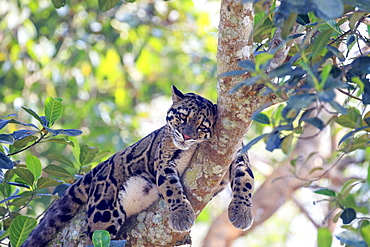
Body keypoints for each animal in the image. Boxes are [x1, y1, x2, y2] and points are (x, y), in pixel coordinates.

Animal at [22, 86, 254, 246]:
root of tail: (99, 168)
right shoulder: (164, 163)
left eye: (202, 126)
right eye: (182, 118)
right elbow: (172, 189)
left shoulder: (238, 154)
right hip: (103, 211)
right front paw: (181, 215)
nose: (186, 136)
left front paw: (242, 212)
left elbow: (245, 181)